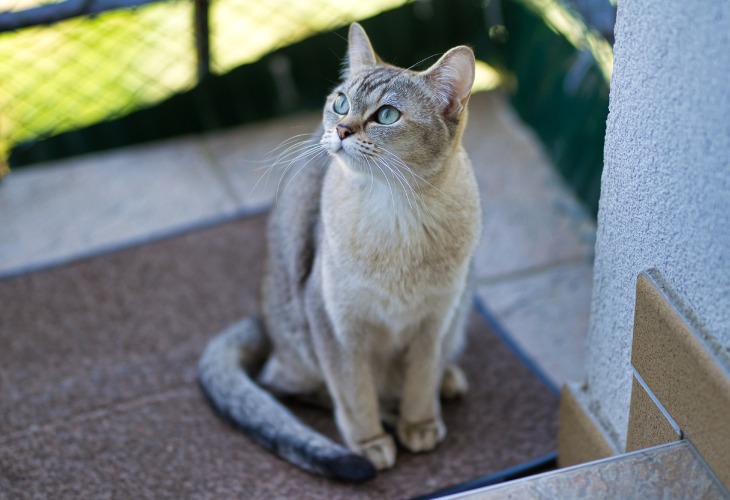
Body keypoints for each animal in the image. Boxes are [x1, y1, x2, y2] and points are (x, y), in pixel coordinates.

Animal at [196, 21, 480, 482]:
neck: (396, 214)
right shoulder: (335, 323)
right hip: (299, 335)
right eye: (340, 102)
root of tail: (264, 322)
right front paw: (369, 443)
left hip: (459, 314)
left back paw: (445, 382)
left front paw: (419, 424)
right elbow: (353, 393)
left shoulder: (435, 322)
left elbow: (421, 380)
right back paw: (385, 411)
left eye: (387, 115)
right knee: (286, 385)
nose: (342, 129)